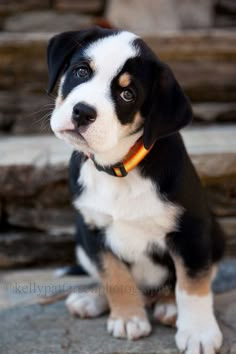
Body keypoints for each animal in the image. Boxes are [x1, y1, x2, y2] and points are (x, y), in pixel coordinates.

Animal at [46, 27, 225, 354]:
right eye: (81, 71)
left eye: (127, 94)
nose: (82, 112)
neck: (119, 168)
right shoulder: (93, 228)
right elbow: (113, 274)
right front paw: (128, 318)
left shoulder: (191, 230)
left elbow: (192, 283)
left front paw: (198, 332)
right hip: (80, 241)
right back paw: (91, 299)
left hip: (215, 234)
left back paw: (169, 306)